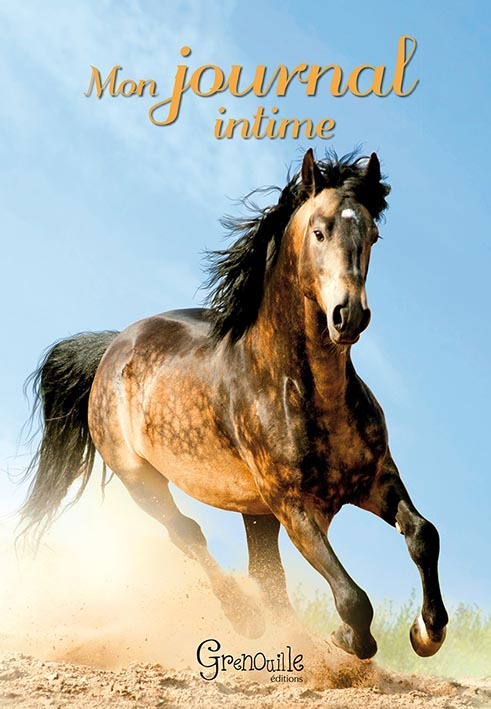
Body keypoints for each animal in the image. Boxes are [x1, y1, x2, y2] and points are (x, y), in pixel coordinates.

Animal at [20, 149, 448, 660]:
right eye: (319, 230)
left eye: (373, 235)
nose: (349, 316)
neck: (304, 391)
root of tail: (112, 348)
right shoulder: (294, 507)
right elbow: (352, 598)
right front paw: (347, 638)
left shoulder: (377, 479)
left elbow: (423, 535)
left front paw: (427, 632)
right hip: (142, 480)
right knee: (189, 534)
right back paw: (246, 620)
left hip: (254, 512)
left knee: (267, 576)